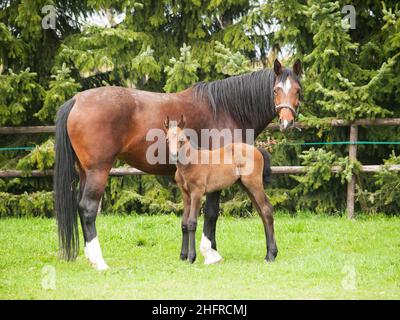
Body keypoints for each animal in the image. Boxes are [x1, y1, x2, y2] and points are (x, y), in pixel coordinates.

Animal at [164, 116, 276, 264]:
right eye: (167, 139)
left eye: (181, 139)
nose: (174, 155)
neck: (191, 162)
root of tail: (258, 151)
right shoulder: (186, 194)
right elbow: (184, 223)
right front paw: (182, 255)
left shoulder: (197, 193)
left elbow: (192, 223)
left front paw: (191, 257)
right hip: (246, 186)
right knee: (262, 212)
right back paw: (269, 253)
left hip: (254, 184)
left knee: (266, 209)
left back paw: (271, 255)